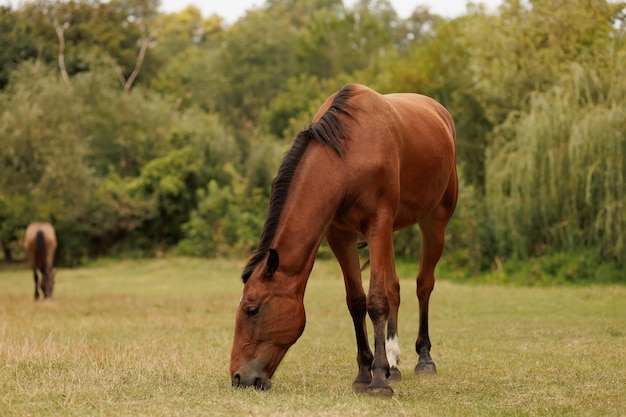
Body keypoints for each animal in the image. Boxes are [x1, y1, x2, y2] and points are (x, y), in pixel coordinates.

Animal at [227, 82, 456, 396]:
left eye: (252, 309)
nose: (239, 378)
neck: (347, 158)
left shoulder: (377, 224)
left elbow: (377, 300)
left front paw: (379, 380)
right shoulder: (339, 235)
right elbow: (357, 302)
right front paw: (364, 373)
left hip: (434, 221)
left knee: (423, 286)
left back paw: (424, 359)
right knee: (395, 288)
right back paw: (394, 362)